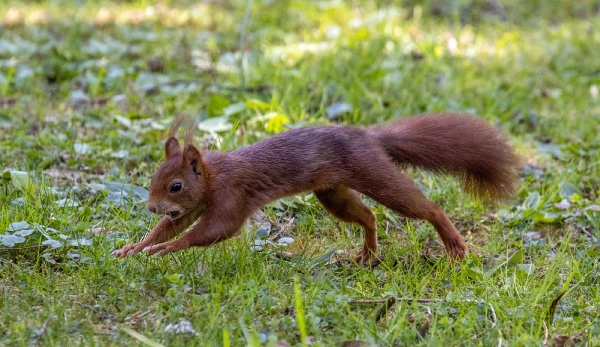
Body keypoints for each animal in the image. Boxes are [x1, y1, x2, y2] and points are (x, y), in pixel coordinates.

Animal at [115, 113, 516, 266]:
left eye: (176, 185)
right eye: (152, 180)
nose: (151, 207)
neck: (213, 176)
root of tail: (369, 137)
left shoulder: (231, 196)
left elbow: (215, 230)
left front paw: (164, 249)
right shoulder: (194, 207)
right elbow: (173, 226)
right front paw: (135, 247)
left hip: (374, 174)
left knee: (425, 208)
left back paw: (453, 242)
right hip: (332, 192)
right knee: (368, 215)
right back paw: (366, 254)